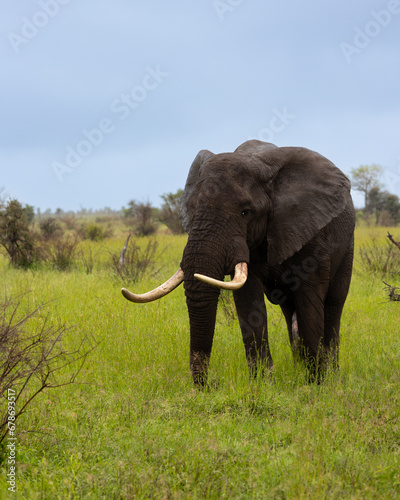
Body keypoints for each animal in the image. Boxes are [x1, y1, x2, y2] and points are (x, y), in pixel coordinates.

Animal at [121, 141, 354, 386]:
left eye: (245, 212)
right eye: (192, 210)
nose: (209, 385)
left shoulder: (310, 230)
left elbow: (309, 300)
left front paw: (315, 384)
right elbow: (249, 302)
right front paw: (262, 383)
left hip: (347, 245)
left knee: (333, 304)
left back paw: (331, 373)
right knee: (288, 307)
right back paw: (298, 367)